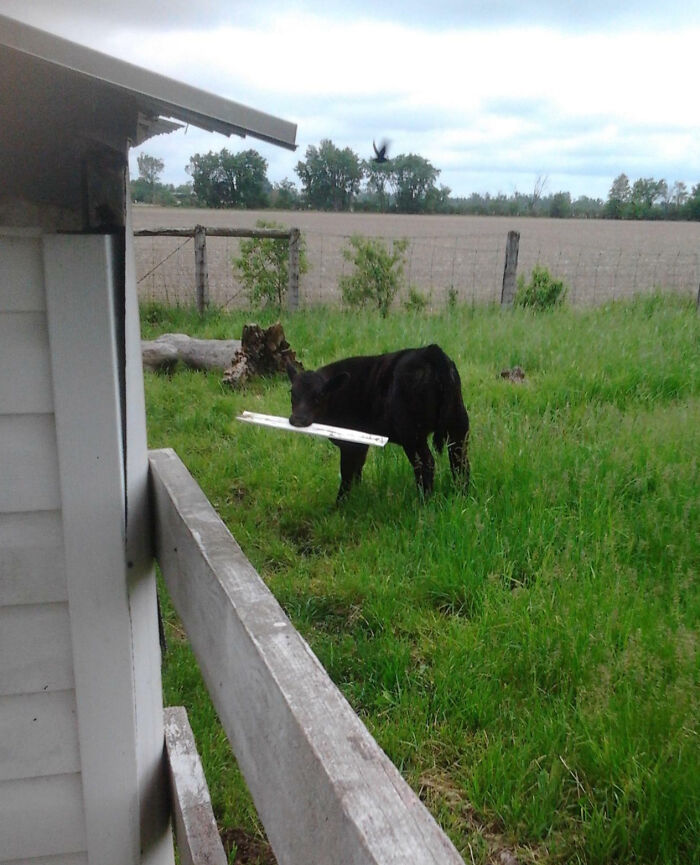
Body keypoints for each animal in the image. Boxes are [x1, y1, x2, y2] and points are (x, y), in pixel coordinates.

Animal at [287, 344, 469, 500]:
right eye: (292, 393)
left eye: (320, 395)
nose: (298, 420)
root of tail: (430, 351)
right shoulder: (361, 443)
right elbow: (357, 470)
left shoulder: (349, 443)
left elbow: (347, 474)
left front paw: (340, 505)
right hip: (458, 425)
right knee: (460, 461)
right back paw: (462, 496)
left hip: (412, 435)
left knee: (425, 464)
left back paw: (424, 501)